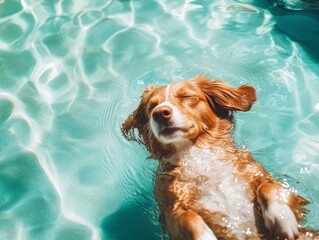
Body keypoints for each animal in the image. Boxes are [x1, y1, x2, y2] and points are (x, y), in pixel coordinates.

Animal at [121, 75, 318, 240]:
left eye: (186, 96)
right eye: (151, 107)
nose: (160, 113)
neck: (198, 157)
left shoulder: (288, 195)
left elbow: (268, 187)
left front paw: (282, 218)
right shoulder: (170, 214)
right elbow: (187, 217)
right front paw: (204, 237)